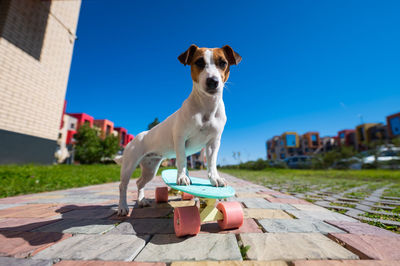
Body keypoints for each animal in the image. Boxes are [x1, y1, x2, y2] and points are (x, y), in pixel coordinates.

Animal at [115, 44, 241, 216]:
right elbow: (181, 160)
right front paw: (182, 178)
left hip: (150, 168)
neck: (206, 106)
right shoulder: (181, 138)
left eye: (223, 63)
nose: (213, 81)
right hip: (129, 165)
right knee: (123, 185)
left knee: (140, 182)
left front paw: (215, 178)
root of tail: (137, 137)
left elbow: (212, 163)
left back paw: (141, 201)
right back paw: (122, 207)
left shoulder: (213, 143)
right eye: (199, 62)